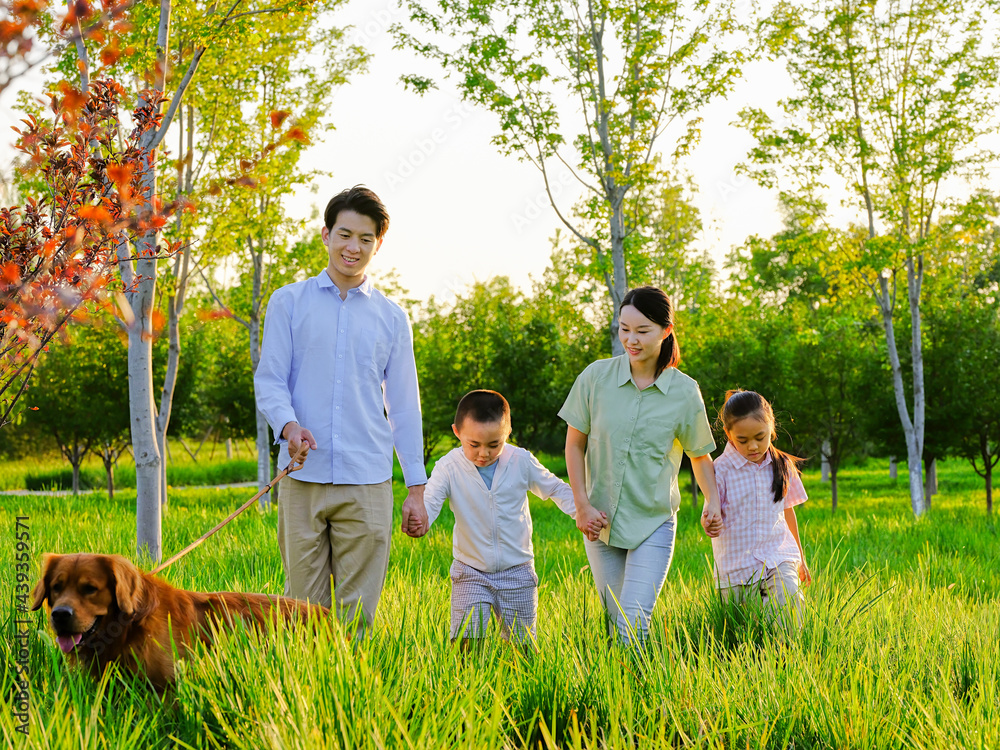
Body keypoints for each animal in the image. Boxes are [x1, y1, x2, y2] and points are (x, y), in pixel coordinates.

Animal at [31, 556, 326, 692]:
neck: (129, 627)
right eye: (56, 587)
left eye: (90, 589)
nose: (60, 615)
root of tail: (324, 611)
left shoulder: (167, 687)